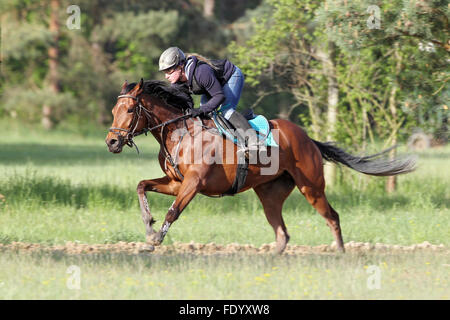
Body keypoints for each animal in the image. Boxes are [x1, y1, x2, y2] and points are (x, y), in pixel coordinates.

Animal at [104, 79, 414, 254]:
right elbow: (141, 186)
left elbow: (173, 211)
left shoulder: (193, 183)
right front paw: (148, 225)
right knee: (282, 233)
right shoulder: (176, 182)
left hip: (311, 186)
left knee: (332, 216)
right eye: (114, 110)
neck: (179, 132)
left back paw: (339, 252)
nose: (111, 141)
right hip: (270, 194)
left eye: (130, 110)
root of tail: (307, 138)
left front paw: (154, 240)